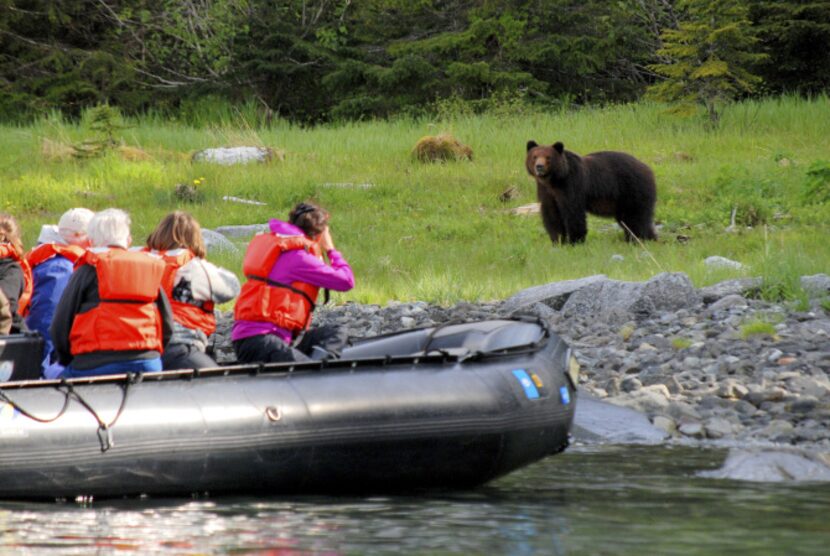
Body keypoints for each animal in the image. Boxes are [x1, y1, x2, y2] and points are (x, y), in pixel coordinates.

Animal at [528, 140, 656, 244]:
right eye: (534, 156)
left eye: (548, 157)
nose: (539, 166)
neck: (554, 180)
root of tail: (648, 169)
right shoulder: (546, 191)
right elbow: (551, 214)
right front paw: (558, 240)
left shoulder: (571, 185)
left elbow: (573, 213)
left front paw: (575, 240)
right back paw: (649, 238)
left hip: (632, 190)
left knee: (635, 218)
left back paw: (637, 239)